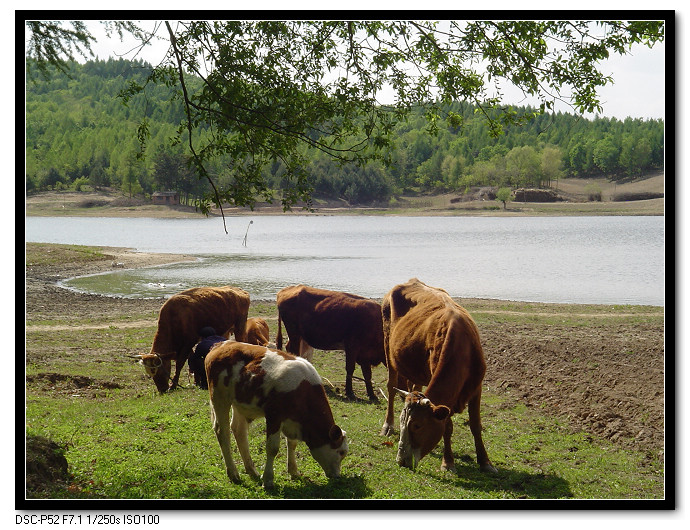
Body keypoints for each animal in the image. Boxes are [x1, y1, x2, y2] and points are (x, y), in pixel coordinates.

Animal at [203, 338, 344, 486]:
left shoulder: (292, 420)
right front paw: (268, 479)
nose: (337, 476)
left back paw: (251, 470)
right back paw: (233, 473)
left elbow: (292, 444)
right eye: (341, 452)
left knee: (239, 430)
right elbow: (272, 448)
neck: (303, 389)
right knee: (222, 431)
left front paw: (293, 471)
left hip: (239, 402)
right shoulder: (274, 416)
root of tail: (221, 344)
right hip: (219, 397)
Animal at [378, 278, 498, 472]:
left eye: (417, 425)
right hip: (388, 345)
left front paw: (485, 462)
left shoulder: (477, 386)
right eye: (403, 423)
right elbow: (447, 426)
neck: (462, 348)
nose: (401, 461)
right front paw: (448, 462)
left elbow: (475, 424)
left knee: (414, 385)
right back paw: (387, 425)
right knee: (390, 386)